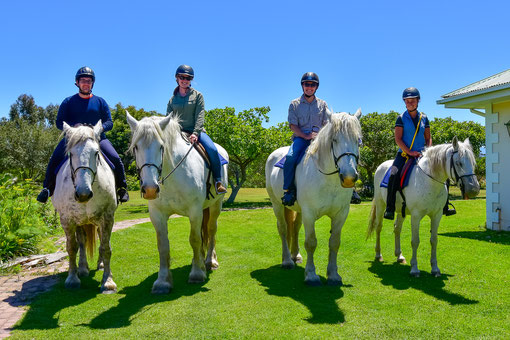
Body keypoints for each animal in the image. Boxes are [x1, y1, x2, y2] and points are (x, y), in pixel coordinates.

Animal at [52, 121, 118, 292]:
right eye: (71, 154)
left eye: (96, 153)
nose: (83, 194)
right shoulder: (67, 220)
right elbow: (71, 247)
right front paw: (72, 279)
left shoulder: (107, 218)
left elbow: (105, 247)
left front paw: (108, 281)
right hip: (80, 221)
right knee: (81, 241)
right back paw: (82, 268)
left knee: (100, 239)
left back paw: (100, 265)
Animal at [126, 113, 228, 294]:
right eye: (136, 147)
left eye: (161, 146)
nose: (150, 189)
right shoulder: (157, 215)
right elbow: (163, 246)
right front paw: (162, 281)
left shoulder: (194, 211)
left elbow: (195, 239)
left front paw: (196, 274)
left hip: (216, 205)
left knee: (211, 230)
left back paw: (210, 261)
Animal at [264, 110, 360, 286]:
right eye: (334, 140)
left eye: (358, 140)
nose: (349, 177)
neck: (328, 180)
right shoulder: (309, 213)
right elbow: (311, 242)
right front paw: (311, 275)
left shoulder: (341, 214)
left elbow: (334, 243)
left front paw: (333, 275)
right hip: (277, 205)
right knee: (283, 229)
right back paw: (287, 261)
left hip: (298, 210)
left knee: (294, 228)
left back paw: (295, 256)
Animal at [368, 137, 480, 278]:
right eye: (459, 163)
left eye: (473, 162)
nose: (474, 190)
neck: (429, 180)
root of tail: (381, 166)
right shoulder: (416, 216)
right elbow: (415, 241)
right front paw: (415, 269)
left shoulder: (437, 215)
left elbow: (434, 240)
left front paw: (435, 268)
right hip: (380, 204)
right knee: (378, 227)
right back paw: (378, 254)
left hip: (400, 211)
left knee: (397, 229)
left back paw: (399, 256)